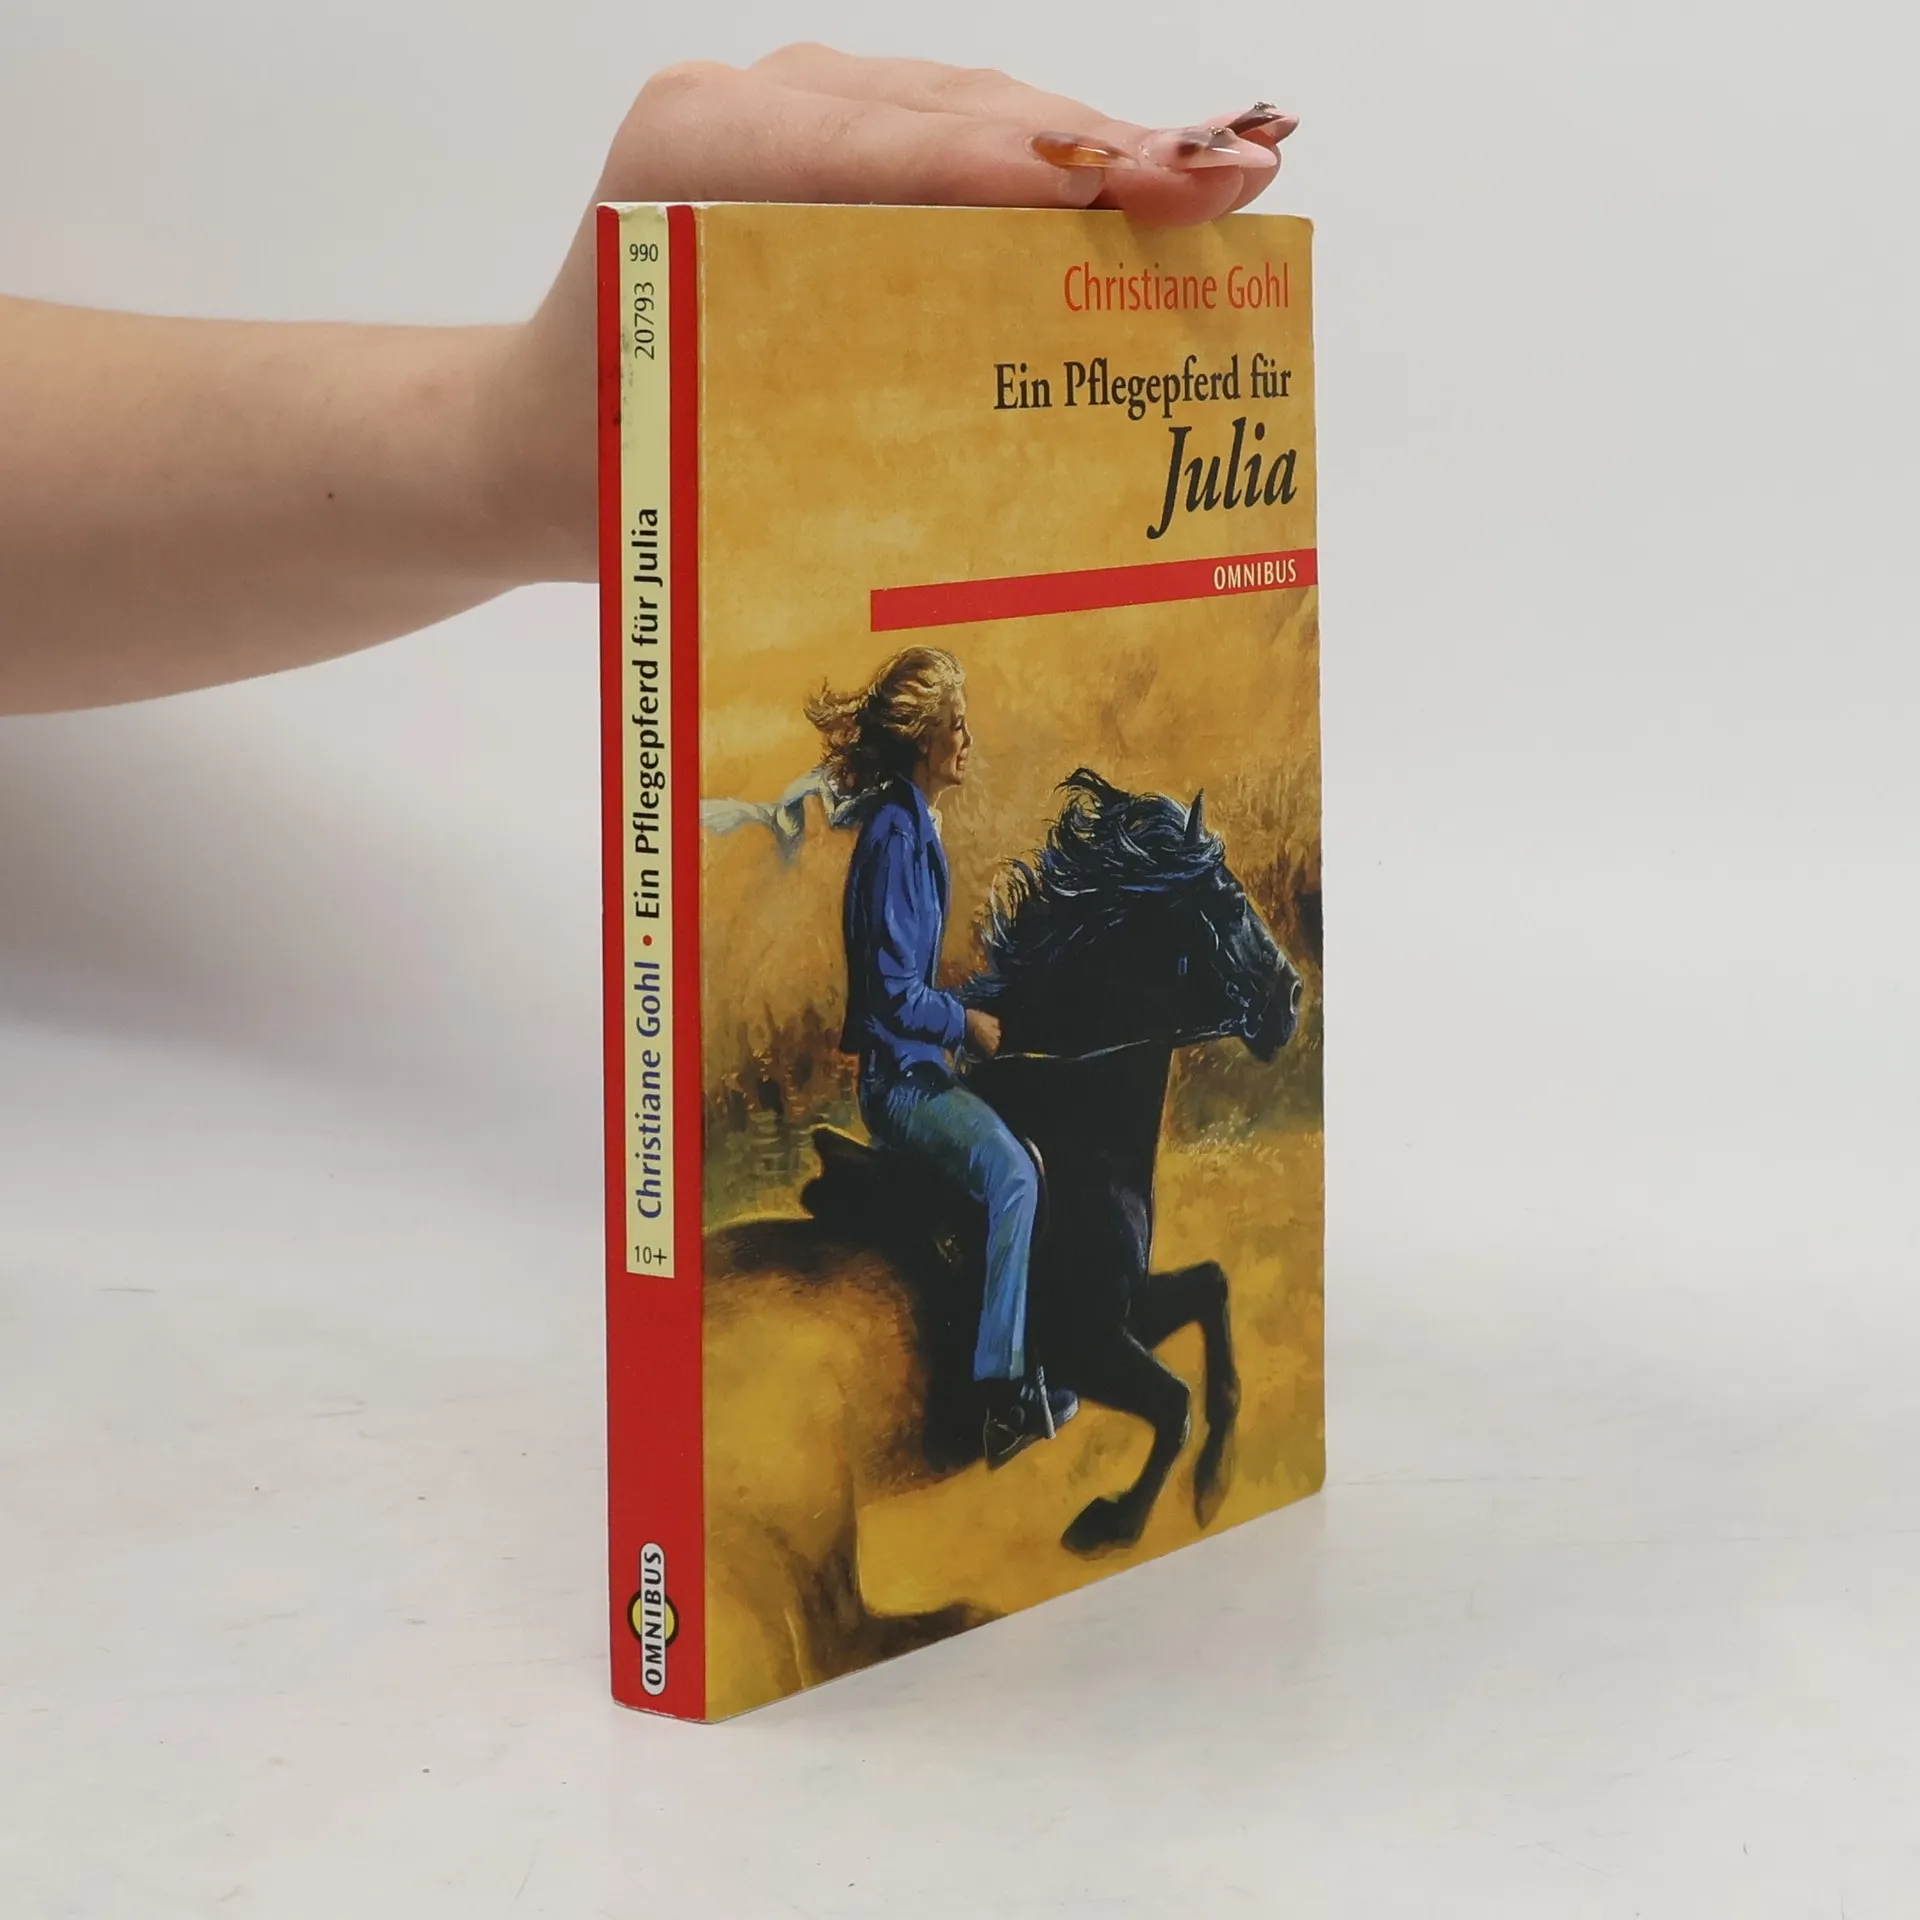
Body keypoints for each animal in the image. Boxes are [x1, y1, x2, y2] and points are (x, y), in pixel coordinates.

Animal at [700, 770, 1303, 1709]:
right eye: (1230, 901)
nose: (1290, 1001)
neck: (1072, 1126)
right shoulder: (1089, 1346)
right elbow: (1174, 1402)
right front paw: (1109, 1524)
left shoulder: (1125, 1315)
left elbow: (1213, 1291)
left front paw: (1212, 1486)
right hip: (806, 1496)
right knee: (836, 1625)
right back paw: (962, 1613)